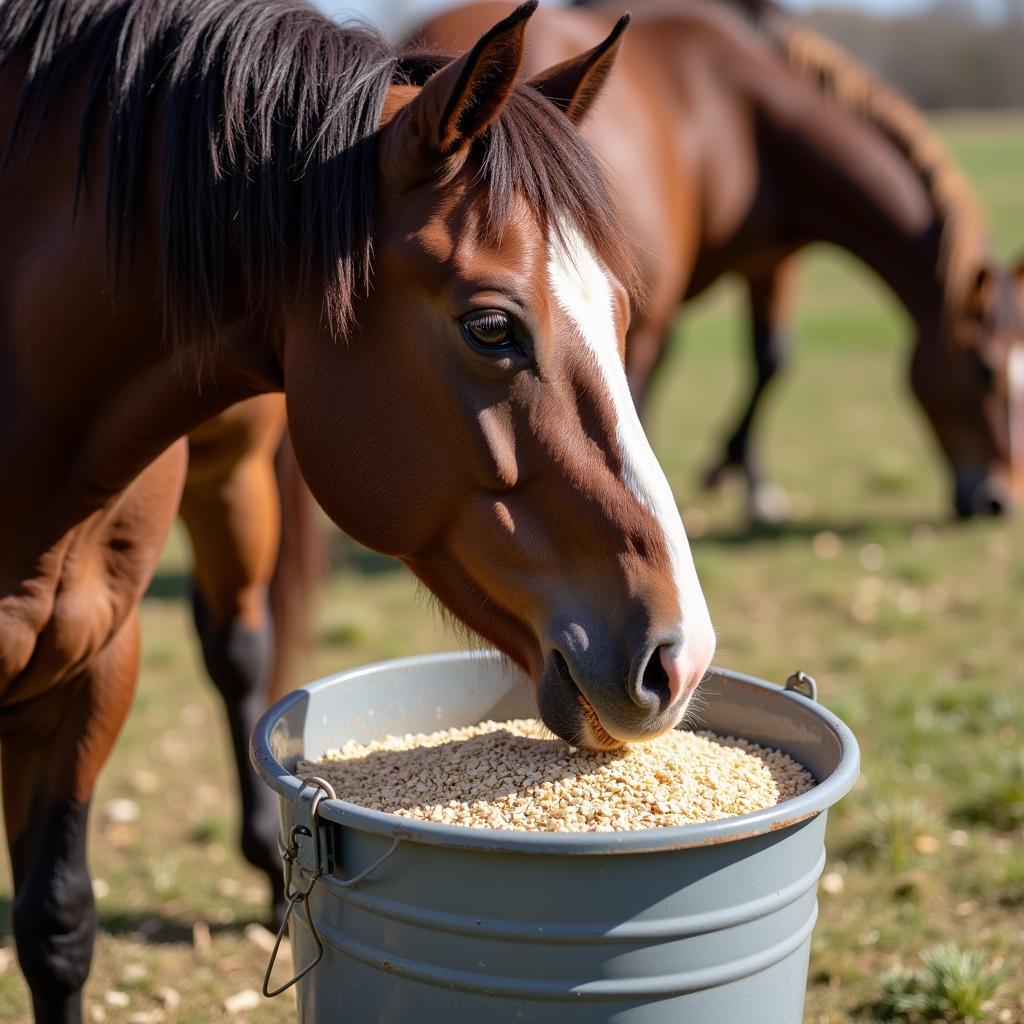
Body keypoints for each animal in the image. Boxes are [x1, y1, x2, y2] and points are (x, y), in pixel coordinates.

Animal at [415, 0, 1024, 524]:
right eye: (983, 371)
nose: (999, 500)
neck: (753, 114)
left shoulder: (764, 262)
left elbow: (765, 358)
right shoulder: (731, 274)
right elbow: (763, 361)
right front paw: (737, 479)